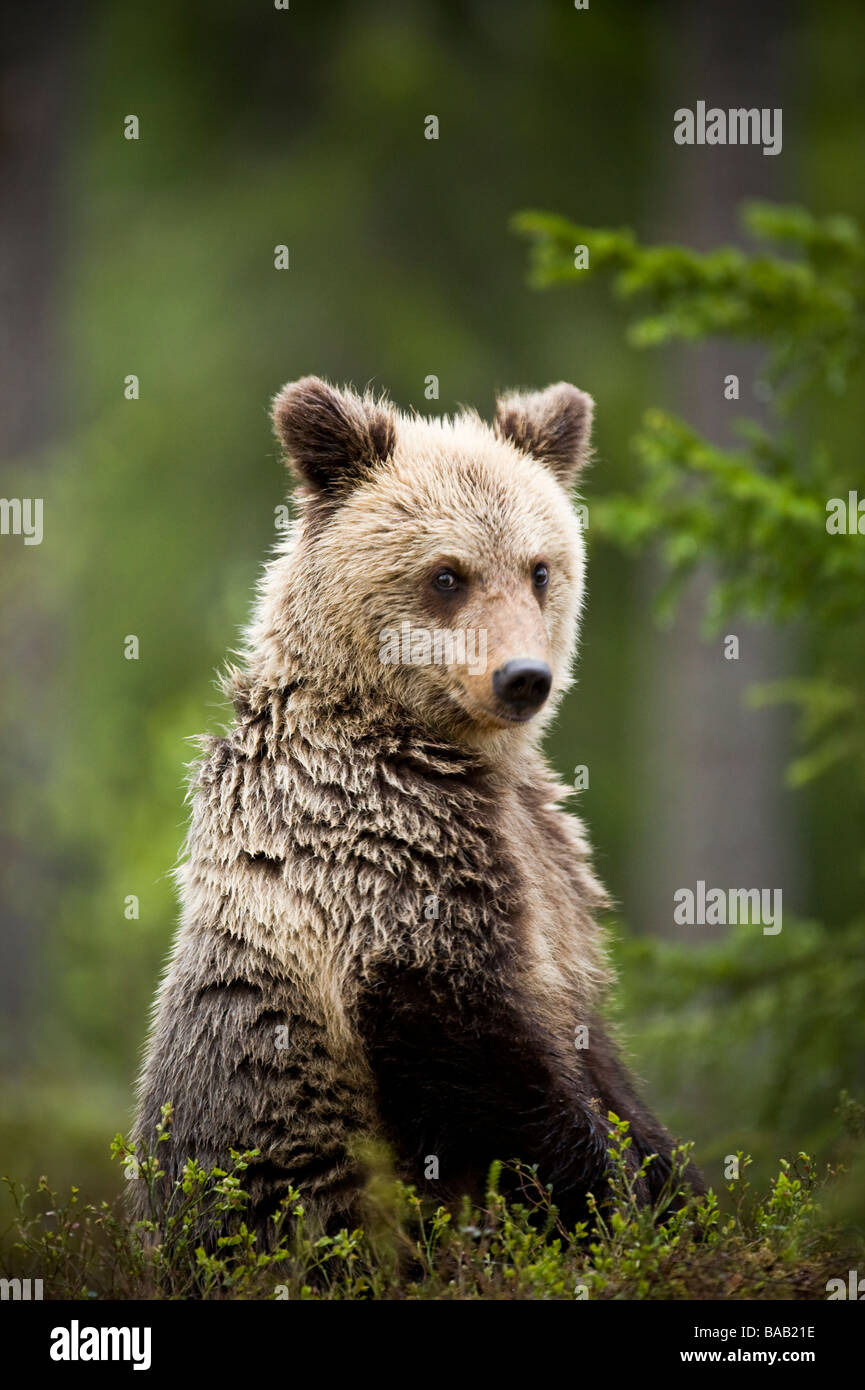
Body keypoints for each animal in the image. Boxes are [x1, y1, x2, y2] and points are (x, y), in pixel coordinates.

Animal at [131, 376, 703, 1243]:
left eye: (539, 568)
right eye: (446, 575)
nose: (522, 677)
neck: (447, 751)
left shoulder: (547, 863)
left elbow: (597, 1053)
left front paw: (681, 1192)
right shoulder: (378, 854)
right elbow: (483, 1058)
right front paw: (605, 1200)